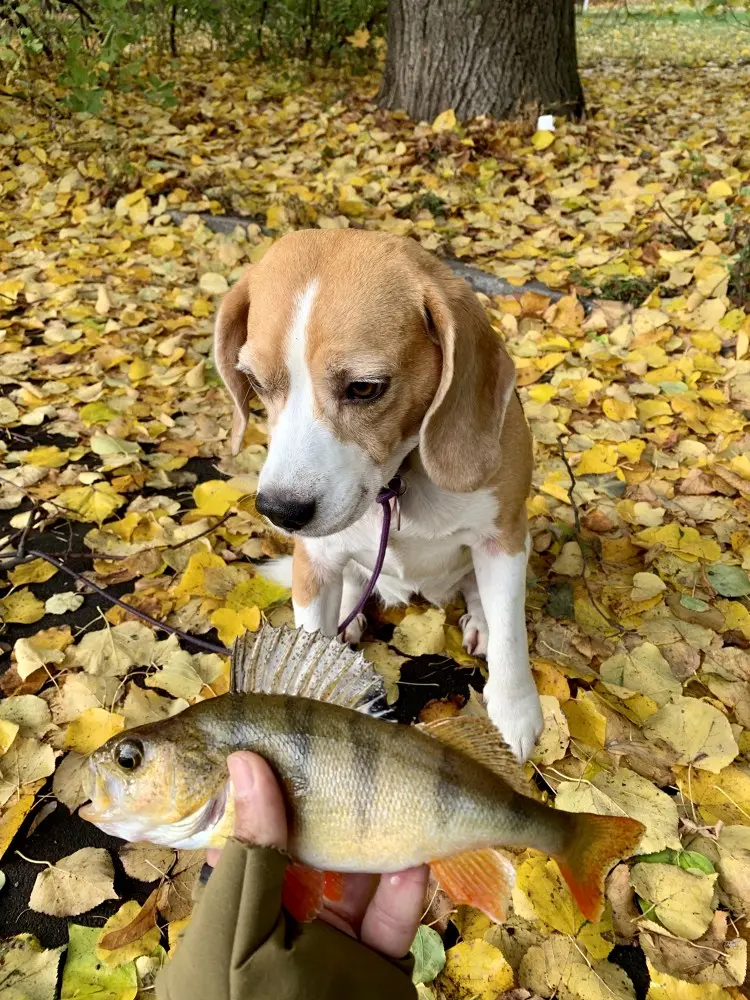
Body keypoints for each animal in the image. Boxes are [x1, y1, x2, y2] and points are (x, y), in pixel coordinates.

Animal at [214, 230, 544, 756]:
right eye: (255, 384)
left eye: (365, 388)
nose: (281, 510)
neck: (399, 483)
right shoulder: (314, 560)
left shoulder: (505, 538)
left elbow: (512, 634)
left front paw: (515, 713)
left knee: (479, 597)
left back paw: (479, 622)